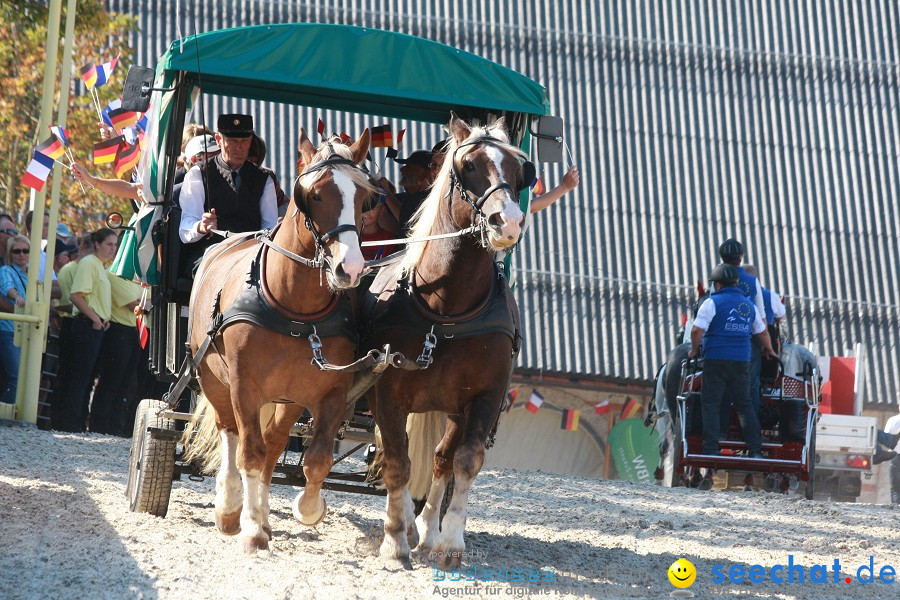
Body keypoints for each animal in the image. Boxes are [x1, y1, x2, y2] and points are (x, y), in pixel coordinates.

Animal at [186, 129, 376, 552]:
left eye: (364, 197)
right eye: (314, 194)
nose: (351, 268)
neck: (295, 311)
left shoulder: (331, 390)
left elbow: (316, 458)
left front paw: (307, 510)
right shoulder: (243, 385)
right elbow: (249, 453)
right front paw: (250, 527)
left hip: (286, 399)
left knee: (273, 444)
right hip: (213, 379)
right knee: (231, 435)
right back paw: (230, 509)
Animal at [358, 113, 528, 568]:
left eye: (520, 169)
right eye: (468, 165)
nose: (509, 222)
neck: (447, 307)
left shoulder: (484, 397)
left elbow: (465, 462)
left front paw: (449, 541)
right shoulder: (387, 394)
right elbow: (397, 462)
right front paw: (394, 541)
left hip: (451, 409)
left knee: (440, 459)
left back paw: (426, 529)